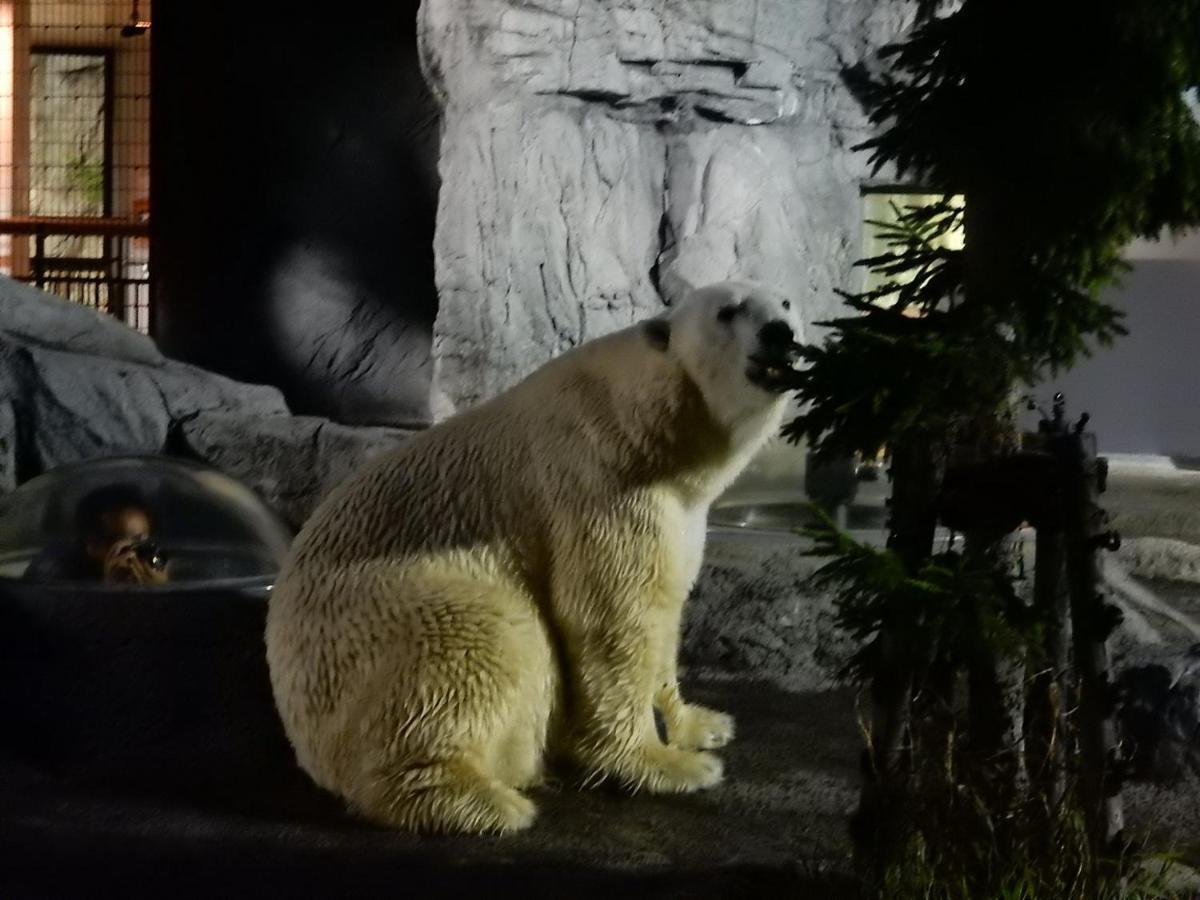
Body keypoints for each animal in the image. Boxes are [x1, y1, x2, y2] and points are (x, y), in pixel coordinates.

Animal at [267, 283, 801, 840]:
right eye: (728, 311)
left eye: (785, 302)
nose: (780, 334)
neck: (654, 427)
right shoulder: (599, 486)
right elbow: (612, 619)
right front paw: (668, 764)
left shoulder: (678, 512)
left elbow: (666, 607)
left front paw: (705, 724)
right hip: (383, 616)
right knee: (486, 641)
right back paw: (484, 802)